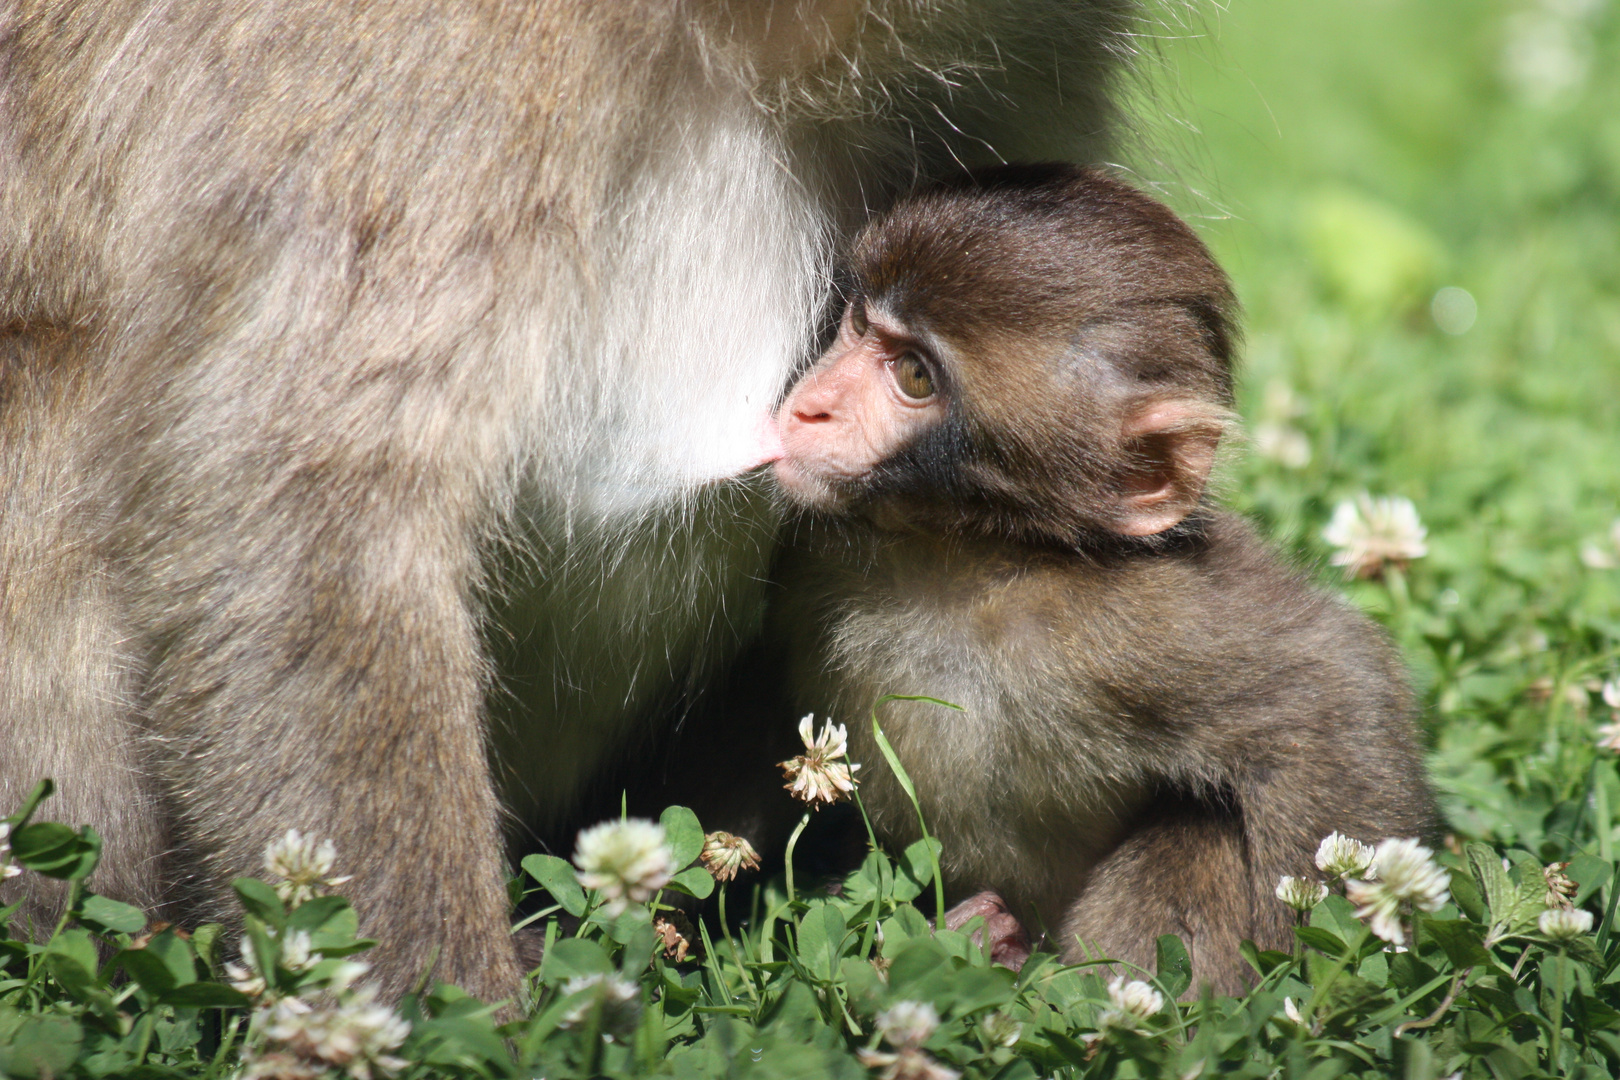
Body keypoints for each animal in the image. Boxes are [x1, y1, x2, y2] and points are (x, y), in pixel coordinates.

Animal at [764, 165, 1438, 990]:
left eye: (914, 375)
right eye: (858, 326)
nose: (810, 406)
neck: (956, 563)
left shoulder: (1128, 624)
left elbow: (1333, 689)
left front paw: (1311, 987)